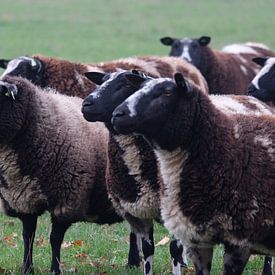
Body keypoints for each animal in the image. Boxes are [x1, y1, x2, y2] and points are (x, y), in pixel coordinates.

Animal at [0, 76, 124, 275]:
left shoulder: (68, 199)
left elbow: (55, 238)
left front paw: (55, 269)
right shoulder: (24, 199)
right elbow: (28, 235)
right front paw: (27, 268)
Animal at [82, 57, 209, 274]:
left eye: (125, 85)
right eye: (102, 82)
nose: (86, 104)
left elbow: (174, 249)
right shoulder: (140, 207)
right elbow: (148, 248)